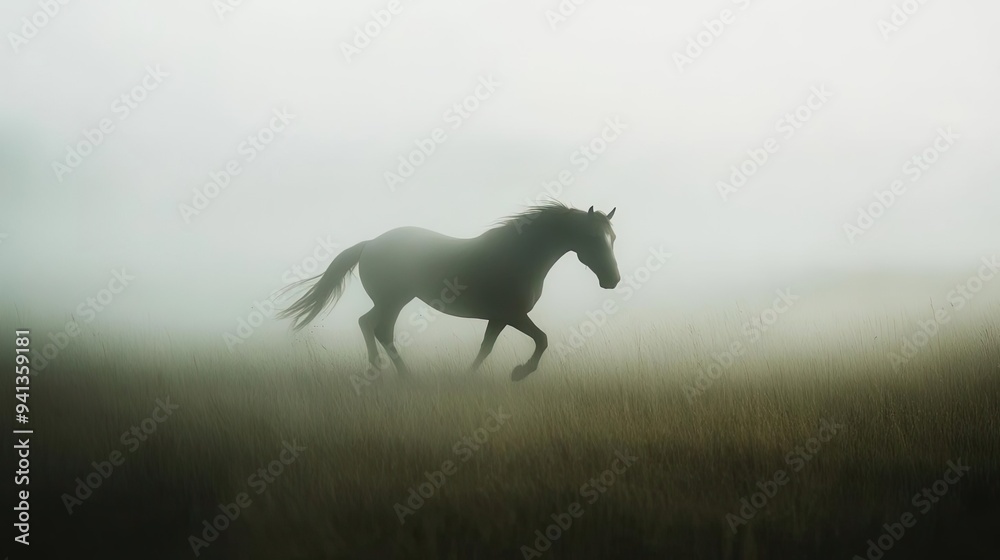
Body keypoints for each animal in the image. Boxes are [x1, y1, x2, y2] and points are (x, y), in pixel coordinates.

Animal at [276, 202, 620, 381]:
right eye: (591, 237)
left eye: (613, 237)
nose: (613, 280)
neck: (518, 255)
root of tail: (370, 244)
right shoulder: (512, 315)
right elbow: (542, 339)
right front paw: (520, 372)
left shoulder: (499, 318)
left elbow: (486, 348)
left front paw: (470, 377)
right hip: (393, 299)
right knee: (378, 328)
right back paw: (400, 375)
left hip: (393, 299)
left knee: (370, 324)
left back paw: (384, 371)